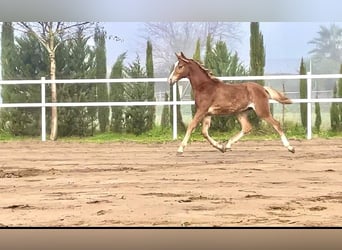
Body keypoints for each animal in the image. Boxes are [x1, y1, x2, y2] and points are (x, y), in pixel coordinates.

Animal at [167, 52, 296, 153]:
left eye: (180, 66)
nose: (170, 80)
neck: (205, 87)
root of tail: (262, 88)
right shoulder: (207, 113)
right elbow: (204, 132)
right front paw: (220, 147)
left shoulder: (201, 110)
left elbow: (191, 126)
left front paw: (180, 149)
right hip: (241, 112)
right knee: (247, 127)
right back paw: (227, 145)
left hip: (262, 111)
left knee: (276, 124)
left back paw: (290, 148)